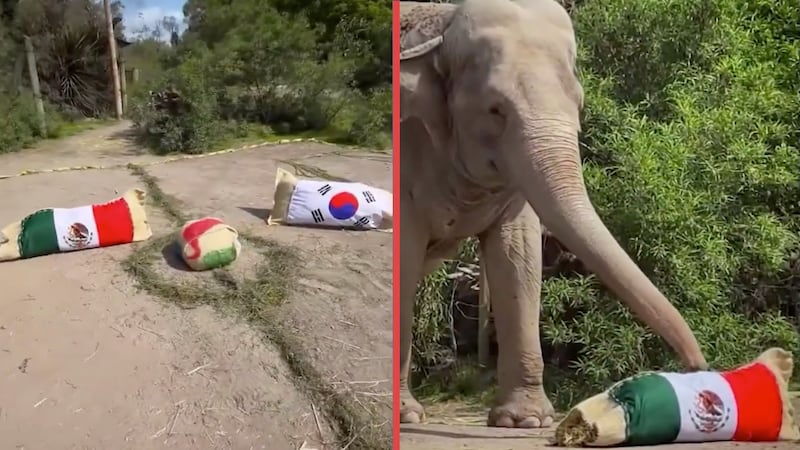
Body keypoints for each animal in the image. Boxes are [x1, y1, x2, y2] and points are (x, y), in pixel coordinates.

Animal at [399, 0, 709, 429]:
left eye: (578, 104)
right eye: (495, 109)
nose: (698, 367)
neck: (443, 23)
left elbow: (519, 257)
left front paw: (526, 422)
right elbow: (404, 258)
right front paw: (406, 415)